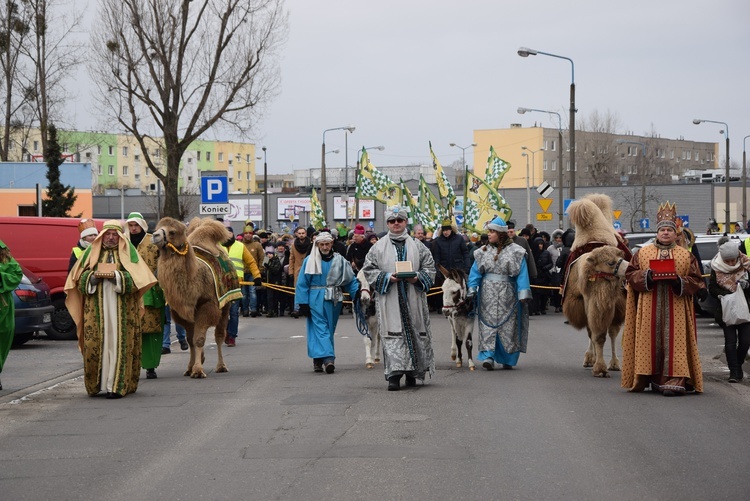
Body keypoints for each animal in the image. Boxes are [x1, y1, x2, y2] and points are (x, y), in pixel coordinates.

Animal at [151, 217, 238, 376]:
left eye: (172, 232)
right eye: (157, 228)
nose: (155, 236)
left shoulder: (207, 305)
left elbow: (199, 339)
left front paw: (197, 370)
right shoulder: (182, 312)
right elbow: (191, 339)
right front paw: (191, 367)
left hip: (225, 304)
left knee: (219, 335)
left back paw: (221, 366)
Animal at [568, 197, 632, 376]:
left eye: (621, 255)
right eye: (610, 263)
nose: (630, 266)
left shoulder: (614, 304)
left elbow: (609, 333)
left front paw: (610, 364)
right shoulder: (587, 301)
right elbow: (595, 333)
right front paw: (597, 365)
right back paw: (590, 358)